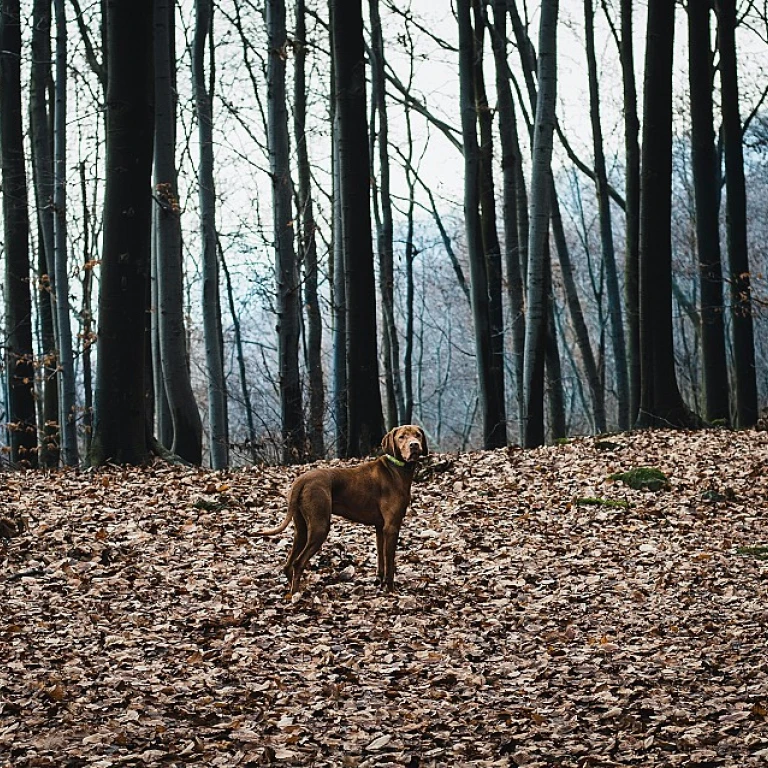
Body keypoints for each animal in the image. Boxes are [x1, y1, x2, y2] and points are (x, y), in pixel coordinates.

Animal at [260, 424, 428, 592]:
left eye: (418, 435)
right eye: (401, 437)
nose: (414, 445)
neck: (396, 468)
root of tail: (301, 480)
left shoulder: (380, 528)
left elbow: (381, 558)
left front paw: (380, 582)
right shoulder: (391, 527)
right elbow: (390, 564)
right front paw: (391, 590)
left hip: (301, 529)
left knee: (288, 565)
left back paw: (292, 591)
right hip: (320, 526)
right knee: (297, 563)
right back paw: (296, 594)